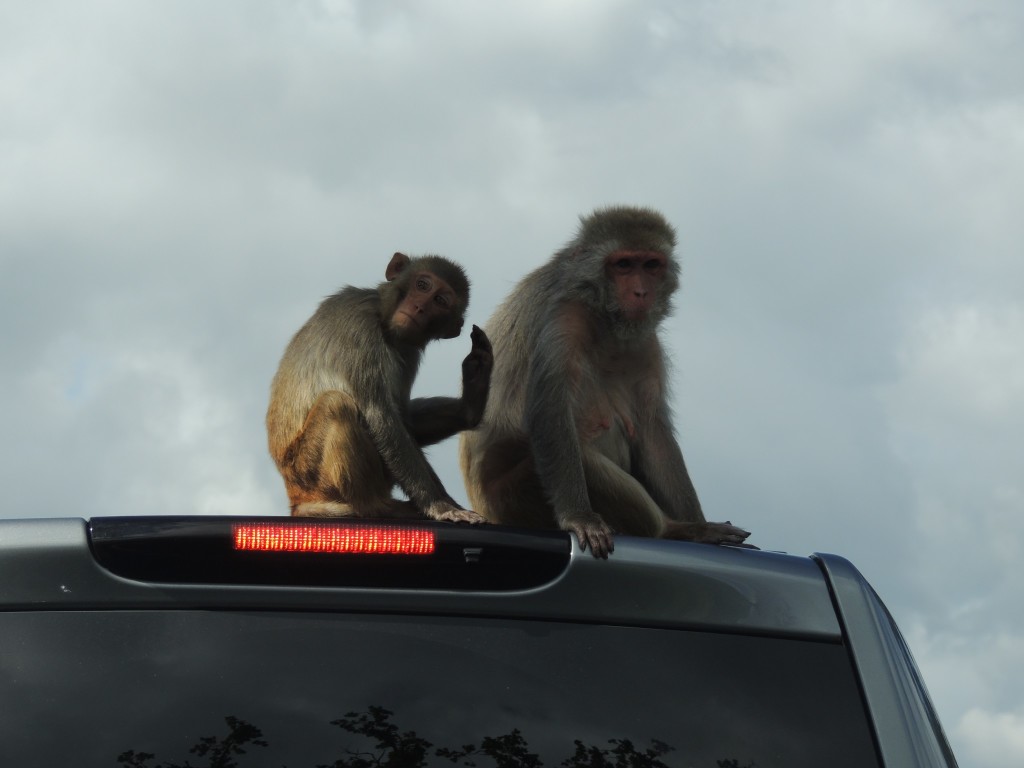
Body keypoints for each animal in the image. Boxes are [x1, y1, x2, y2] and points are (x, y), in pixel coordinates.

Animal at [268, 252, 491, 524]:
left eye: (440, 300)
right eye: (422, 285)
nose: (419, 307)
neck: (384, 321)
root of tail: (296, 499)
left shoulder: (408, 352)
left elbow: (405, 421)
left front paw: (470, 403)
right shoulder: (360, 325)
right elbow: (380, 415)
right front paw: (439, 505)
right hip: (307, 472)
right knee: (336, 404)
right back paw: (375, 507)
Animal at [460, 207, 749, 557]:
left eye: (650, 265)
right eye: (623, 265)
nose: (641, 293)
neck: (602, 313)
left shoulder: (646, 344)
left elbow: (652, 430)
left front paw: (699, 524)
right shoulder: (564, 320)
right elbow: (550, 413)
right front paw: (579, 517)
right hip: (511, 497)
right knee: (573, 448)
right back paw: (669, 529)